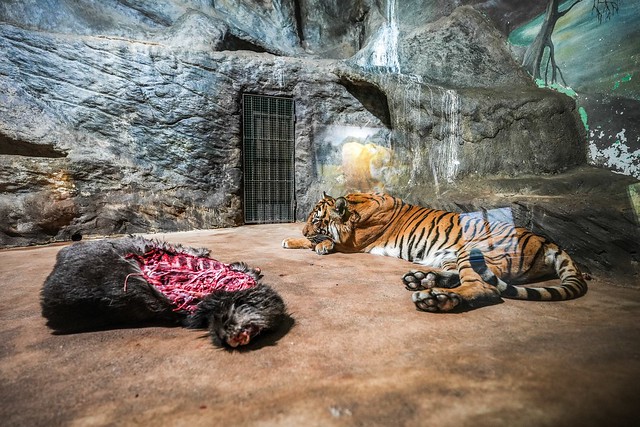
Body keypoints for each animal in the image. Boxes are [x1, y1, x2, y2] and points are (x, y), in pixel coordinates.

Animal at [282, 192, 588, 312]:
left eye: (316, 220)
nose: (303, 231)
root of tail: (547, 240)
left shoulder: (353, 244)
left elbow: (327, 242)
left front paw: (308, 242)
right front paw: (294, 240)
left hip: (476, 254)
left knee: (485, 288)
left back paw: (435, 298)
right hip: (455, 257)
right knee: (459, 278)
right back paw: (421, 280)